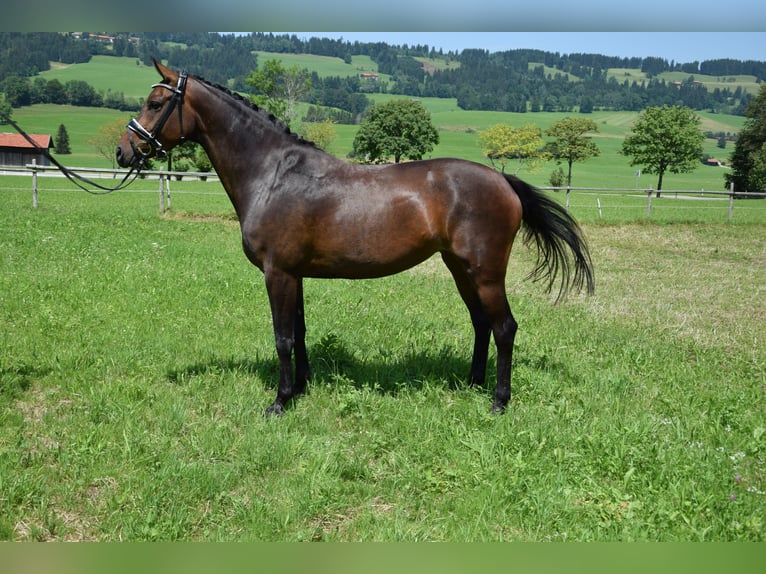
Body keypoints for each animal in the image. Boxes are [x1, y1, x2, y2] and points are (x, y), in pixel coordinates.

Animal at [115, 60, 592, 416]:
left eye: (155, 102)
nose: (123, 151)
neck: (273, 173)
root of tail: (503, 181)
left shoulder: (277, 273)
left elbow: (282, 337)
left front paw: (279, 403)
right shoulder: (294, 274)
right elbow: (299, 332)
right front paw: (301, 388)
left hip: (486, 271)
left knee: (504, 327)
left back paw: (498, 401)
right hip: (460, 268)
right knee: (481, 322)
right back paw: (471, 384)